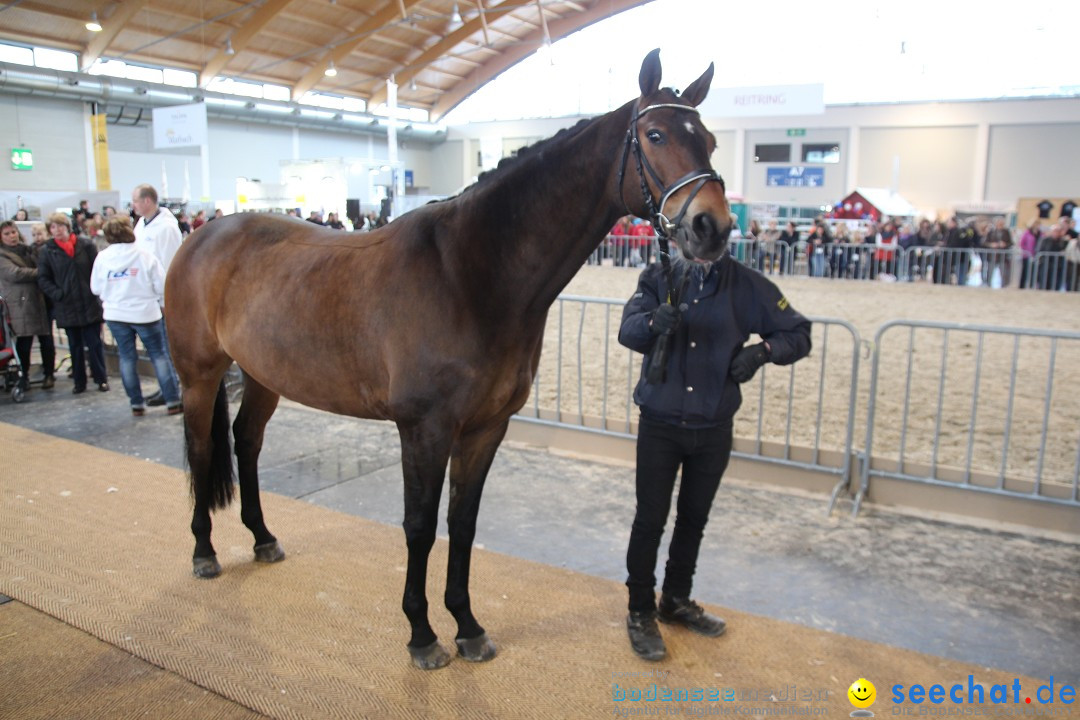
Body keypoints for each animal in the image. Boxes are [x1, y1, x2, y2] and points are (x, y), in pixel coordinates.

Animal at [166, 49, 734, 669]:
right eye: (655, 135)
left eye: (709, 140)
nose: (714, 227)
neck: (468, 272)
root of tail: (204, 234)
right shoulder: (424, 428)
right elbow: (419, 526)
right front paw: (422, 634)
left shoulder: (485, 428)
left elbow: (462, 524)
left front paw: (467, 626)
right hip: (198, 376)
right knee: (200, 452)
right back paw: (202, 551)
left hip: (263, 376)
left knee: (246, 441)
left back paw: (263, 538)